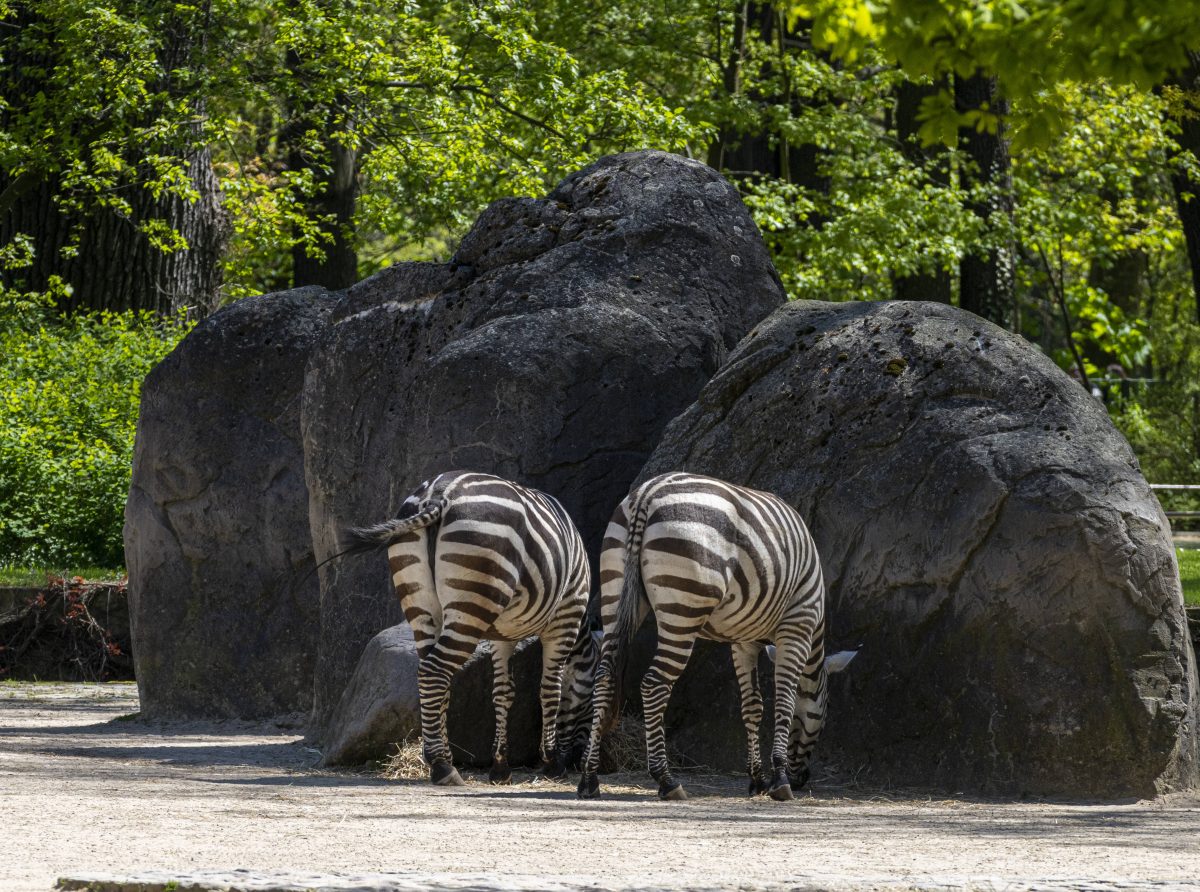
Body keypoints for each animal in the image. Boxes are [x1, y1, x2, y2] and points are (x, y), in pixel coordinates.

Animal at [343, 470, 590, 782]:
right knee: (435, 672)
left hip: (422, 603)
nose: (579, 760)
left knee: (434, 676)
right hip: (476, 591)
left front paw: (500, 766)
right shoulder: (566, 618)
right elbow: (550, 690)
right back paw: (443, 767)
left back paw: (441, 756)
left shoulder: (502, 636)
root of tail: (439, 492)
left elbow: (503, 692)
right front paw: (551, 761)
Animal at [573, 475, 844, 801]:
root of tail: (647, 493)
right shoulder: (798, 626)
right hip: (683, 607)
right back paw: (666, 780)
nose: (802, 778)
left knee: (603, 678)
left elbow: (752, 705)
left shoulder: (744, 641)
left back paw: (589, 779)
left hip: (615, 592)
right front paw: (779, 780)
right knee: (654, 684)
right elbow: (784, 701)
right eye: (824, 716)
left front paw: (757, 779)